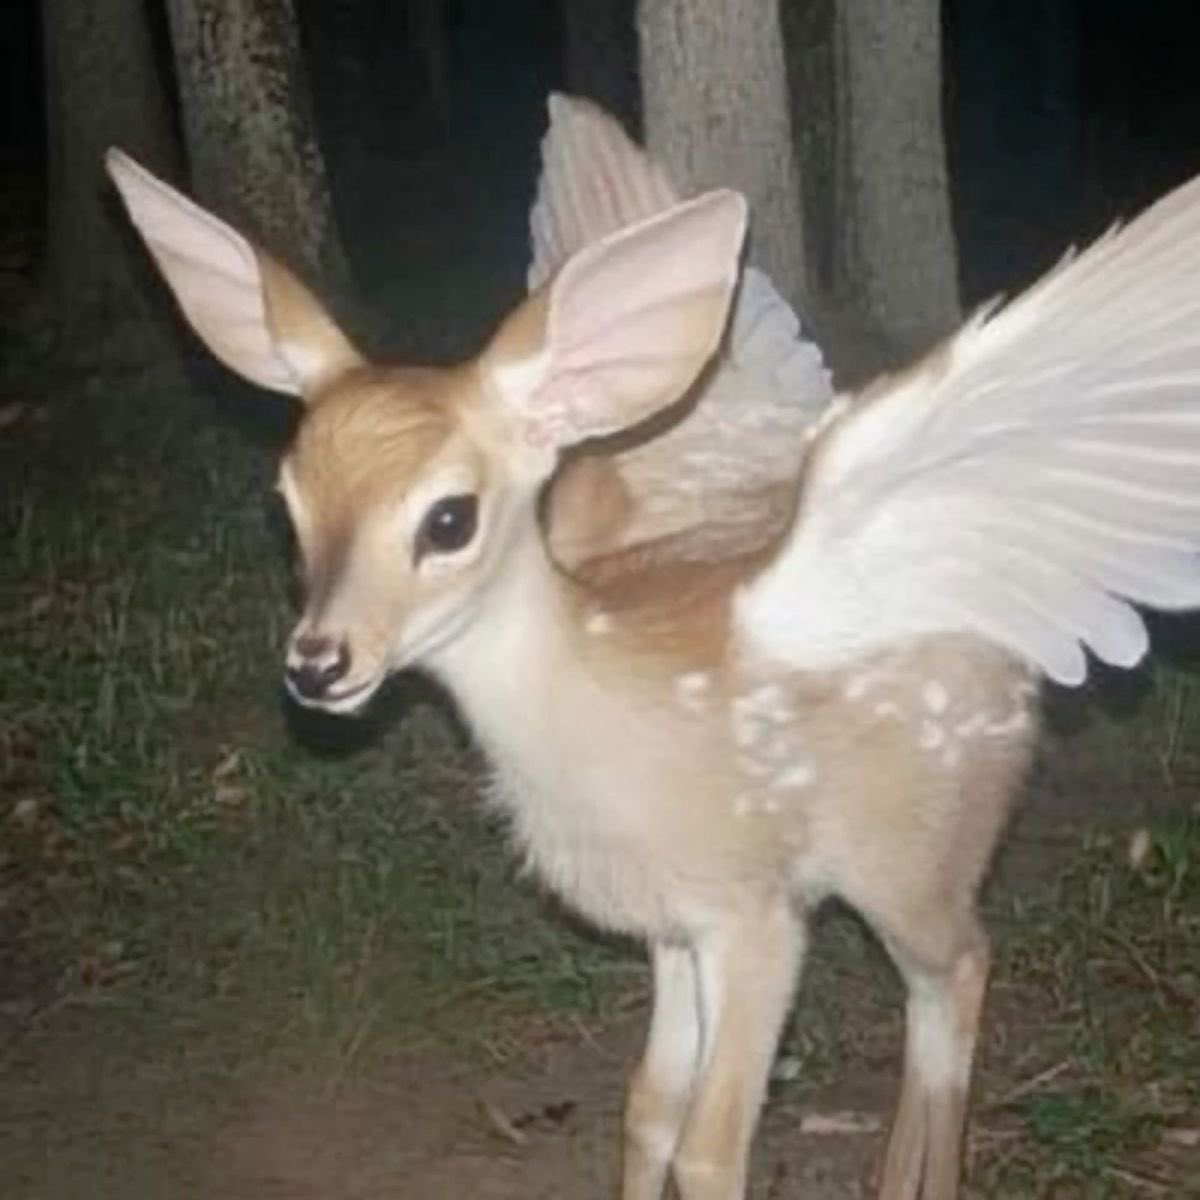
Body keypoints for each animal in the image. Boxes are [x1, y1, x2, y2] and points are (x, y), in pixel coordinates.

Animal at [105, 116, 1200, 1200]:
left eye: (449, 519)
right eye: (286, 508)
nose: (319, 664)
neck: (601, 722)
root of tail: (1018, 663)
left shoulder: (756, 907)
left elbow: (716, 1147)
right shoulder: (670, 919)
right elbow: (647, 1107)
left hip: (913, 849)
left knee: (961, 971)